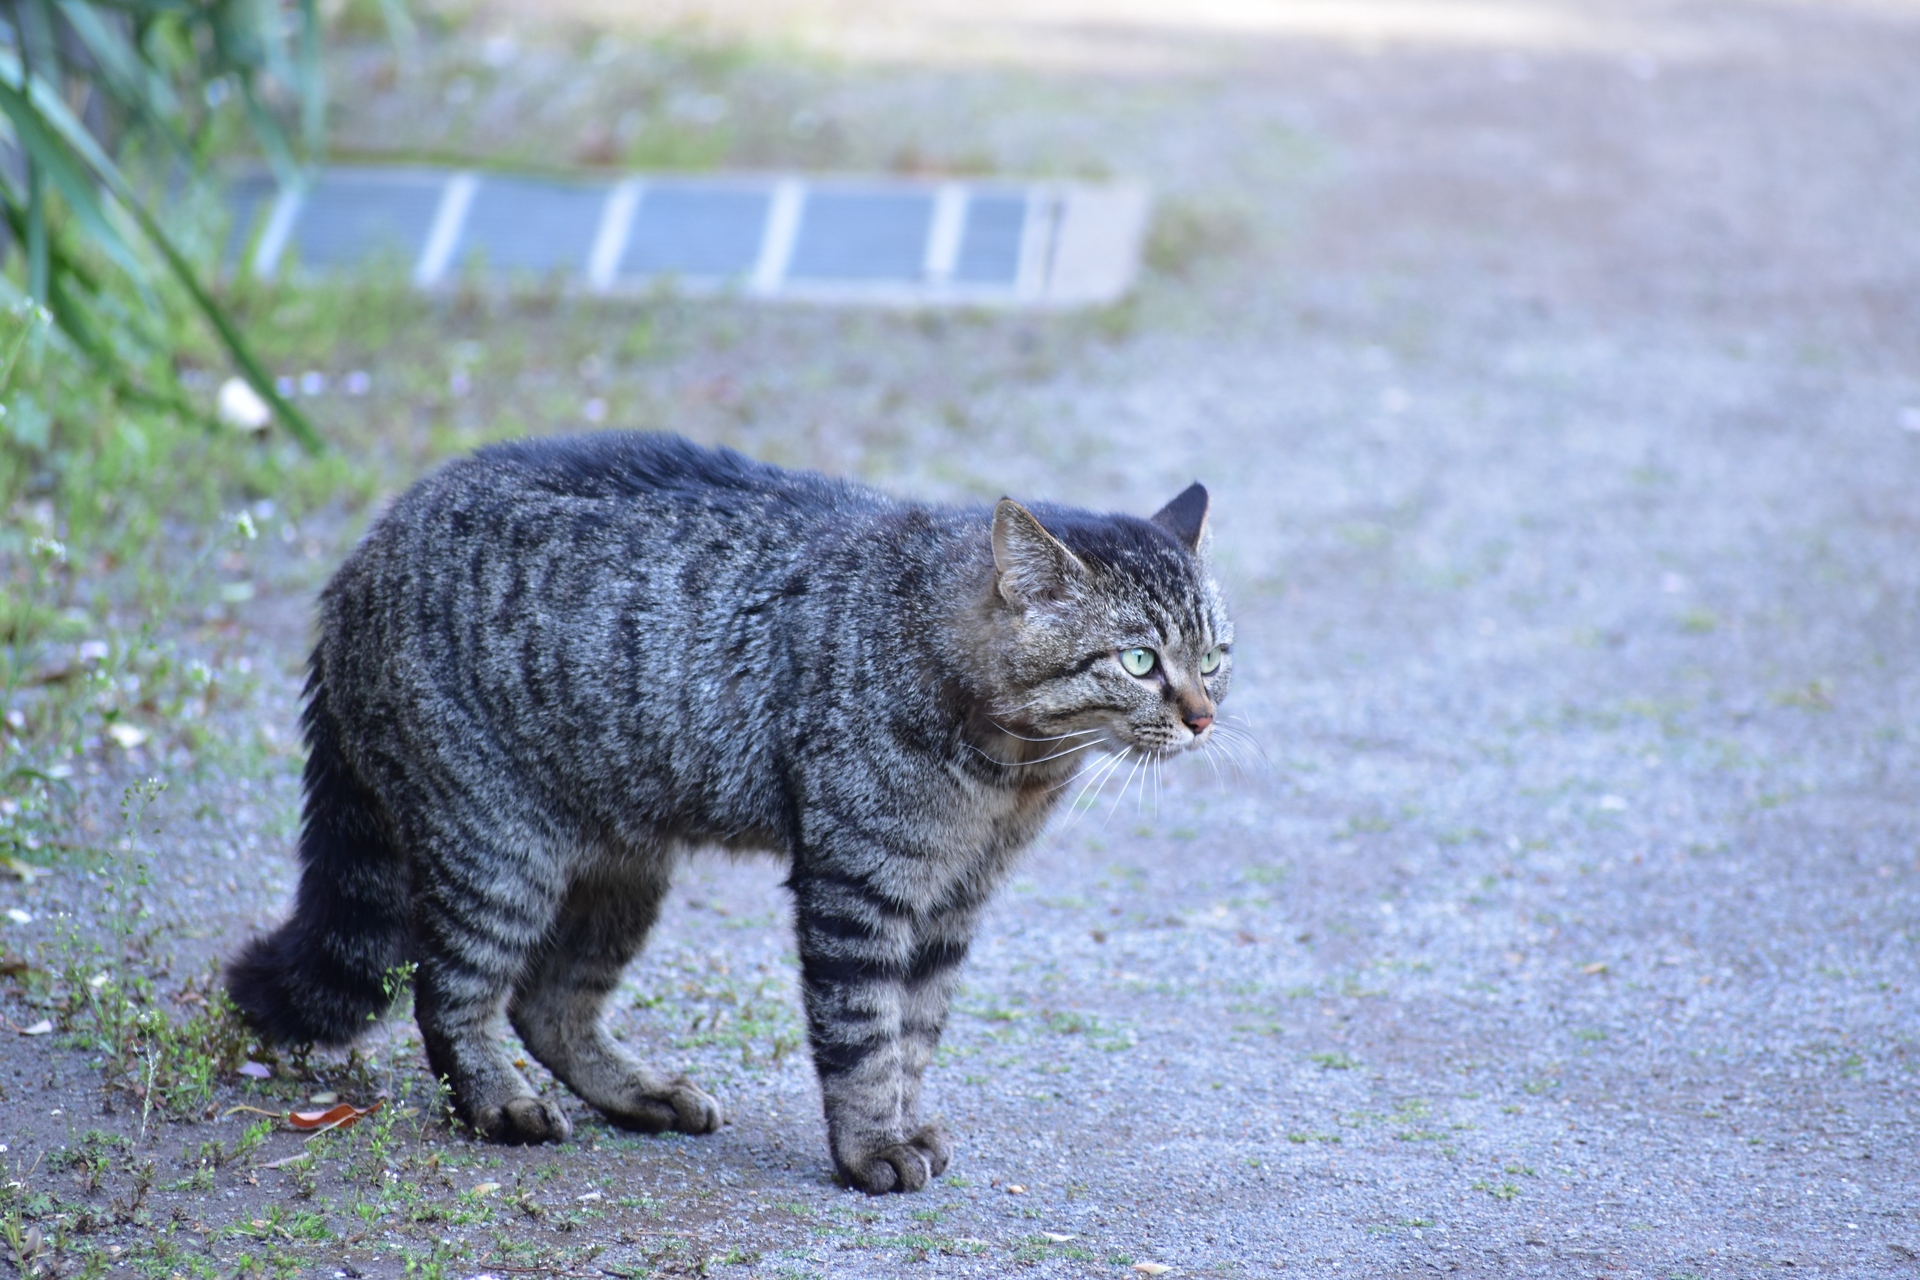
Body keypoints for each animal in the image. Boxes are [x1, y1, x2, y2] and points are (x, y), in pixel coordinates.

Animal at [228, 429, 1228, 1189]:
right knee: (453, 995)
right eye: (1141, 661)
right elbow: (865, 1033)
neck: (1012, 774)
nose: (1204, 716)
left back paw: (639, 1093)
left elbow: (914, 1032)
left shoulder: (953, 902)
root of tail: (358, 559)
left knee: (549, 1005)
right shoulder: (860, 887)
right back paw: (497, 1105)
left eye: (1213, 656)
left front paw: (906, 1122)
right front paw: (872, 1148)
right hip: (496, 850)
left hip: (621, 867)